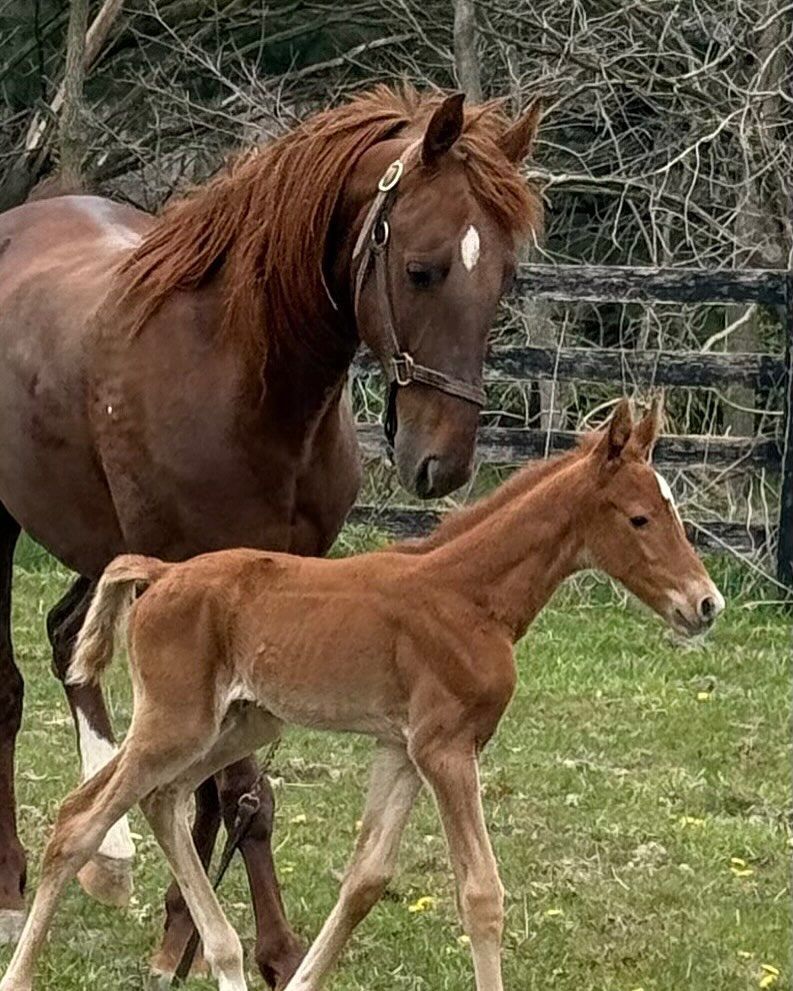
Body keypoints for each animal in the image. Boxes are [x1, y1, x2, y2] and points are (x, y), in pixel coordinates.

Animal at [0, 85, 543, 983]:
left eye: (504, 278)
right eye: (421, 269)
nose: (443, 461)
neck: (243, 373)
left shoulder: (266, 594)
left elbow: (217, 786)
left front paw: (185, 934)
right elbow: (234, 790)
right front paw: (258, 946)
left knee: (68, 638)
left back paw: (109, 861)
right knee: (13, 687)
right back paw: (16, 877)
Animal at [0, 397, 725, 991]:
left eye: (670, 512)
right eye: (639, 517)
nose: (705, 604)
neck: (469, 596)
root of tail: (160, 573)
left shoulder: (400, 748)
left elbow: (366, 878)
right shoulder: (445, 748)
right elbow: (480, 894)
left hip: (240, 723)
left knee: (162, 799)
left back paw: (226, 962)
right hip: (174, 721)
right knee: (81, 818)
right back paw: (23, 972)